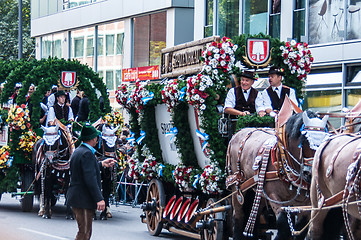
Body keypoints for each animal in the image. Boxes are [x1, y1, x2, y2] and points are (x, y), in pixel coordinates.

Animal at [226, 108, 330, 239]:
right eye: (305, 141)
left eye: (326, 141)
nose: (313, 174)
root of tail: (238, 133)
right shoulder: (274, 196)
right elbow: (283, 225)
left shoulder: (306, 205)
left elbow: (300, 229)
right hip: (238, 188)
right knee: (238, 216)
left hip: (258, 192)